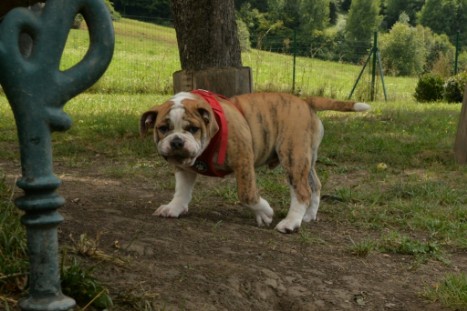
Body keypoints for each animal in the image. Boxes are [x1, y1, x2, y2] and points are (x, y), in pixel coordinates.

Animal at [141, 90, 372, 234]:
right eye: (163, 128)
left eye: (193, 129)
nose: (177, 141)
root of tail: (305, 101)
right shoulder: (183, 168)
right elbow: (181, 190)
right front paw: (174, 208)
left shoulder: (243, 159)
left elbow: (246, 194)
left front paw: (264, 213)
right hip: (305, 157)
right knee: (314, 185)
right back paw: (307, 216)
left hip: (292, 155)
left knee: (302, 190)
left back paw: (290, 223)